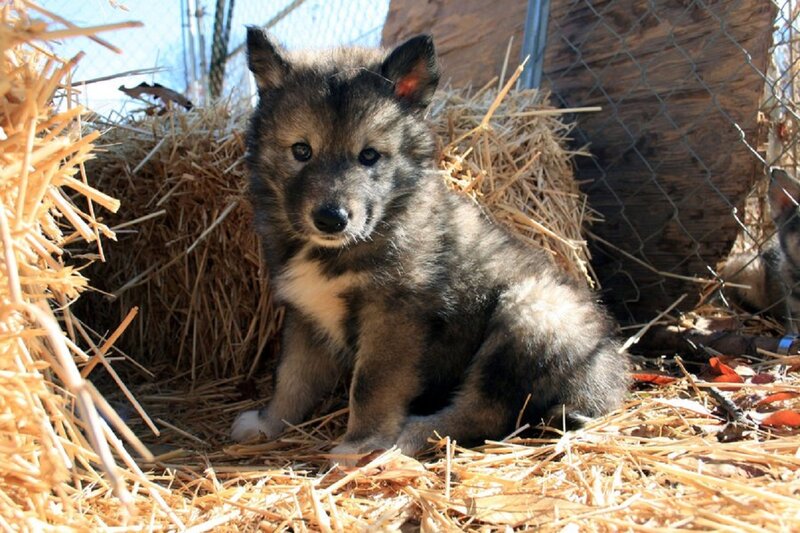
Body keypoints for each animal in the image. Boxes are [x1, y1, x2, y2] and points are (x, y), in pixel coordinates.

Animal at [230, 28, 630, 459]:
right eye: (301, 150)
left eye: (369, 156)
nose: (331, 219)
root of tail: (609, 379)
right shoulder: (306, 314)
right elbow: (292, 378)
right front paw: (267, 423)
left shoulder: (394, 317)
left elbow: (369, 385)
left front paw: (360, 445)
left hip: (530, 318)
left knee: (484, 413)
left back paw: (412, 435)